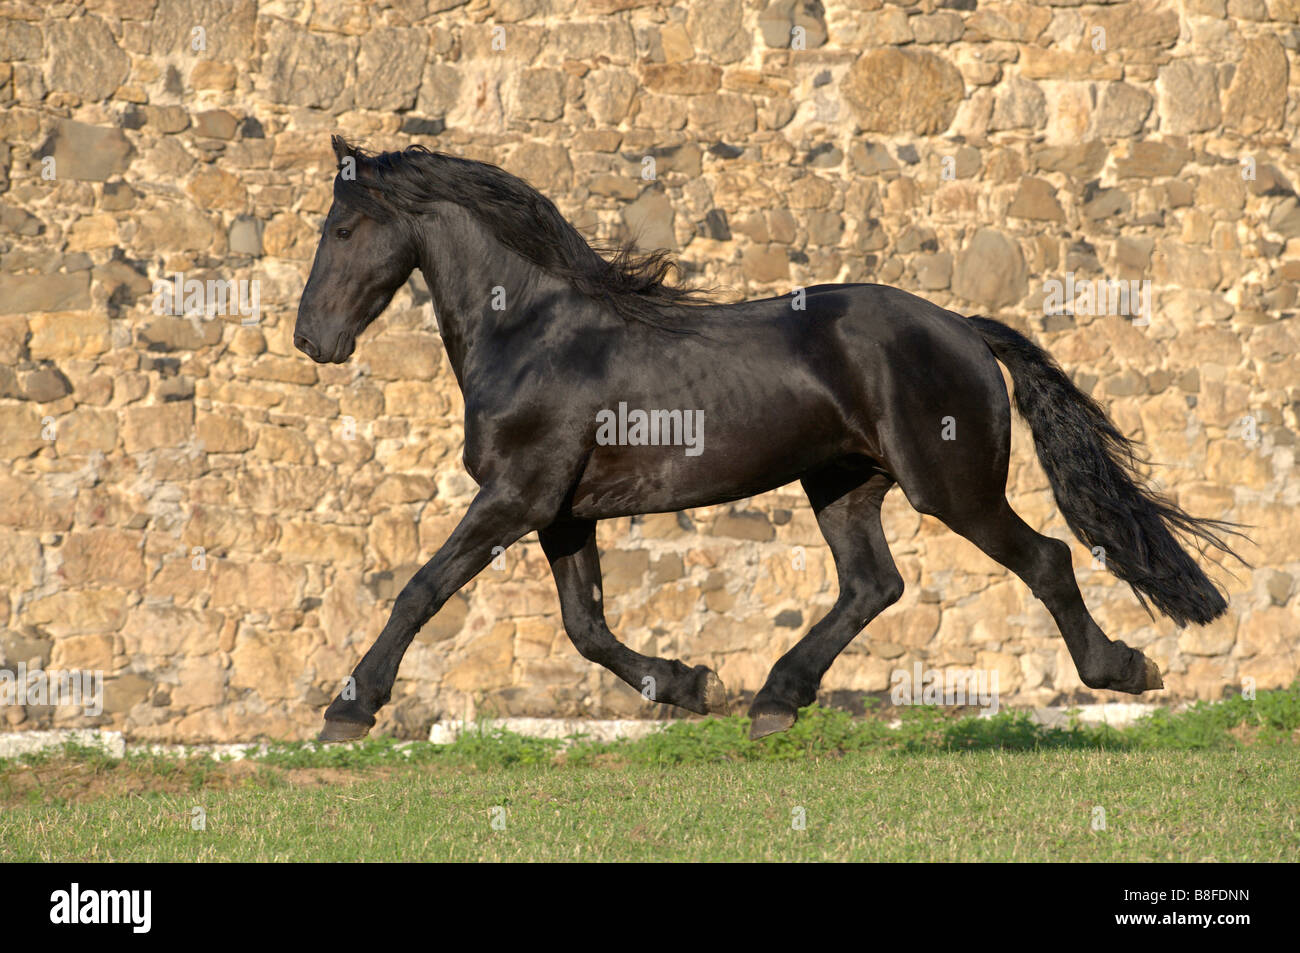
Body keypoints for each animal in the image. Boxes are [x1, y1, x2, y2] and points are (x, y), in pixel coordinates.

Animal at [294, 136, 1244, 742]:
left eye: (342, 229)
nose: (312, 339)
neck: (533, 332)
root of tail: (964, 330)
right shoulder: (561, 511)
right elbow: (585, 626)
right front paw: (690, 683)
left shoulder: (514, 498)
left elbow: (420, 590)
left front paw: (350, 711)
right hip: (842, 484)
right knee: (873, 585)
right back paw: (775, 699)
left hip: (952, 487)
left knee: (1043, 558)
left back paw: (1125, 668)